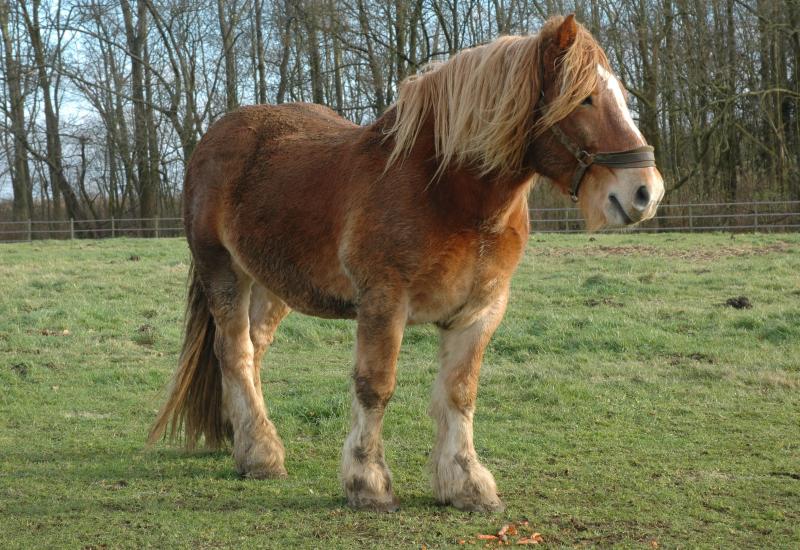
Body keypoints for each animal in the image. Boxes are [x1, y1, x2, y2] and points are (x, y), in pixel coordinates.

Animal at [148, 15, 664, 516]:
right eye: (585, 98)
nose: (646, 191)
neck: (450, 192)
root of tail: (213, 138)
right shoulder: (384, 302)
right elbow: (375, 387)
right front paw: (369, 483)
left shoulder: (480, 311)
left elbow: (460, 393)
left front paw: (467, 484)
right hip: (223, 271)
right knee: (233, 352)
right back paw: (260, 455)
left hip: (272, 284)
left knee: (253, 352)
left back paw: (247, 439)